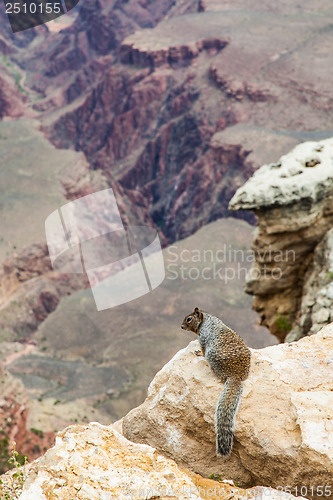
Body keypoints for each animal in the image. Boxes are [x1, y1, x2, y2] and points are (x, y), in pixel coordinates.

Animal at [182, 304, 249, 458]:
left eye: (189, 319)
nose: (181, 326)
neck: (205, 319)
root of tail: (236, 375)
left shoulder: (202, 339)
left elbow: (201, 348)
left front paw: (197, 353)